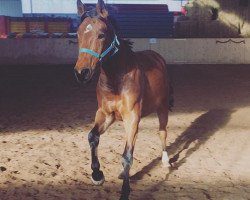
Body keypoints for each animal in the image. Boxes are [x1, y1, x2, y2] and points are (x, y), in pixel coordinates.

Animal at [73, 0, 173, 199]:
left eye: (101, 34)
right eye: (78, 34)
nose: (82, 73)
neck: (116, 79)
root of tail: (157, 56)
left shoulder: (132, 117)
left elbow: (127, 156)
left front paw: (124, 192)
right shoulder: (105, 114)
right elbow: (92, 137)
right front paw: (97, 175)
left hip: (162, 108)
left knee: (162, 132)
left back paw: (166, 161)